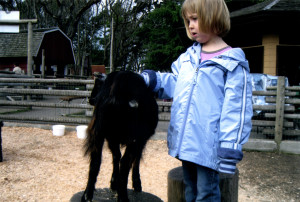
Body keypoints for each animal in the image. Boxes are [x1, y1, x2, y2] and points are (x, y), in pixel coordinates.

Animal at [81, 71, 158, 202]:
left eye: (98, 85)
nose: (91, 99)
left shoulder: (112, 138)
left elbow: (116, 156)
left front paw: (113, 182)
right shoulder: (141, 140)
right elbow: (135, 160)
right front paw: (136, 183)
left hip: (99, 133)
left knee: (96, 161)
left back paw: (87, 195)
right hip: (134, 138)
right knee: (125, 163)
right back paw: (123, 197)